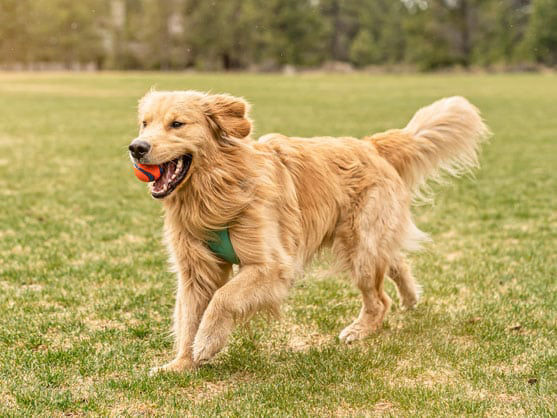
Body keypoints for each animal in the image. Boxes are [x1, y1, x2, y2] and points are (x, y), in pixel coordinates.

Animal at [128, 90, 488, 372]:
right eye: (145, 123)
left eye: (177, 124)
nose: (137, 147)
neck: (216, 191)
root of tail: (370, 145)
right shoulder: (195, 271)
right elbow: (188, 316)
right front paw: (181, 363)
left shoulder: (271, 267)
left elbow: (222, 298)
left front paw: (207, 343)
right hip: (369, 243)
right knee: (396, 261)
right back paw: (411, 297)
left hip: (360, 248)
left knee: (379, 299)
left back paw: (360, 329)